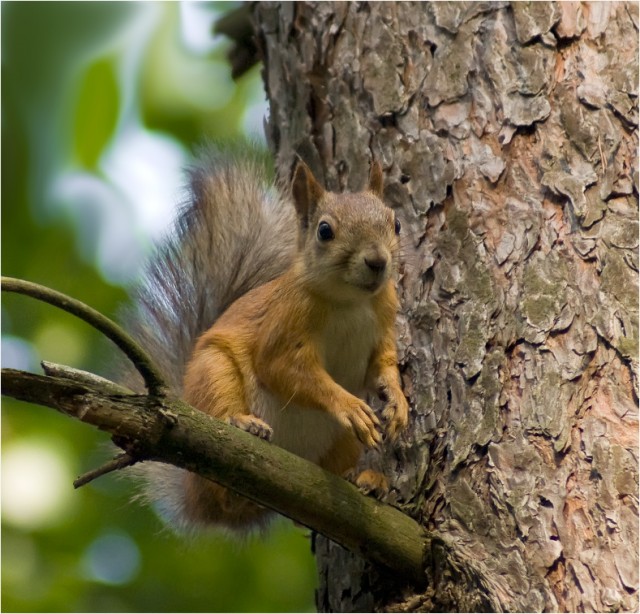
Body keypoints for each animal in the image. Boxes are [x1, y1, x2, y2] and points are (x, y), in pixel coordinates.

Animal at [122, 148, 408, 536]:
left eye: (396, 223)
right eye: (324, 231)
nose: (378, 261)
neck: (352, 301)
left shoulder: (384, 321)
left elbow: (384, 366)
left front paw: (398, 402)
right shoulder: (285, 323)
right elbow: (280, 367)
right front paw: (348, 404)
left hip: (341, 441)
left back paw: (363, 479)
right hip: (214, 374)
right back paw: (243, 426)